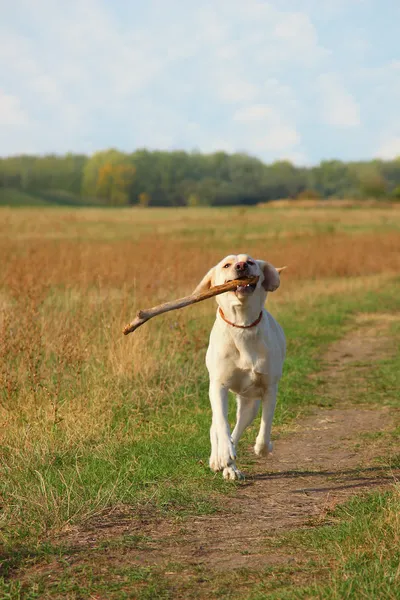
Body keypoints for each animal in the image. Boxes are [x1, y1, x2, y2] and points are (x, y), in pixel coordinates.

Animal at [193, 255, 284, 480]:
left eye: (250, 261)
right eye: (226, 265)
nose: (241, 266)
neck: (242, 325)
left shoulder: (270, 388)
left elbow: (266, 425)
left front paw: (263, 447)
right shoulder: (218, 387)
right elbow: (222, 425)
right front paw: (224, 454)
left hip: (249, 405)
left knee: (239, 427)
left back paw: (229, 466)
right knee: (216, 427)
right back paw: (221, 460)